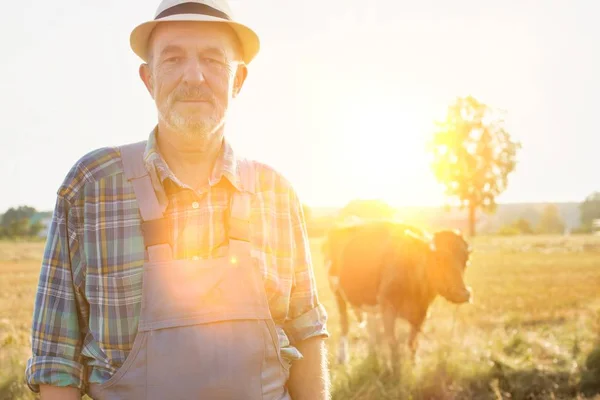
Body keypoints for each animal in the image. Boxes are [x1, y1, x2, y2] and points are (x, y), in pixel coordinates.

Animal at [322, 220, 472, 368]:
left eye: (465, 260)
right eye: (438, 258)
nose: (462, 294)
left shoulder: (422, 311)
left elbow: (412, 343)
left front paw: (413, 366)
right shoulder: (388, 307)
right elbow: (393, 343)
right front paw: (395, 370)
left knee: (371, 325)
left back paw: (372, 355)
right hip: (337, 291)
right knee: (344, 324)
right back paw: (343, 358)